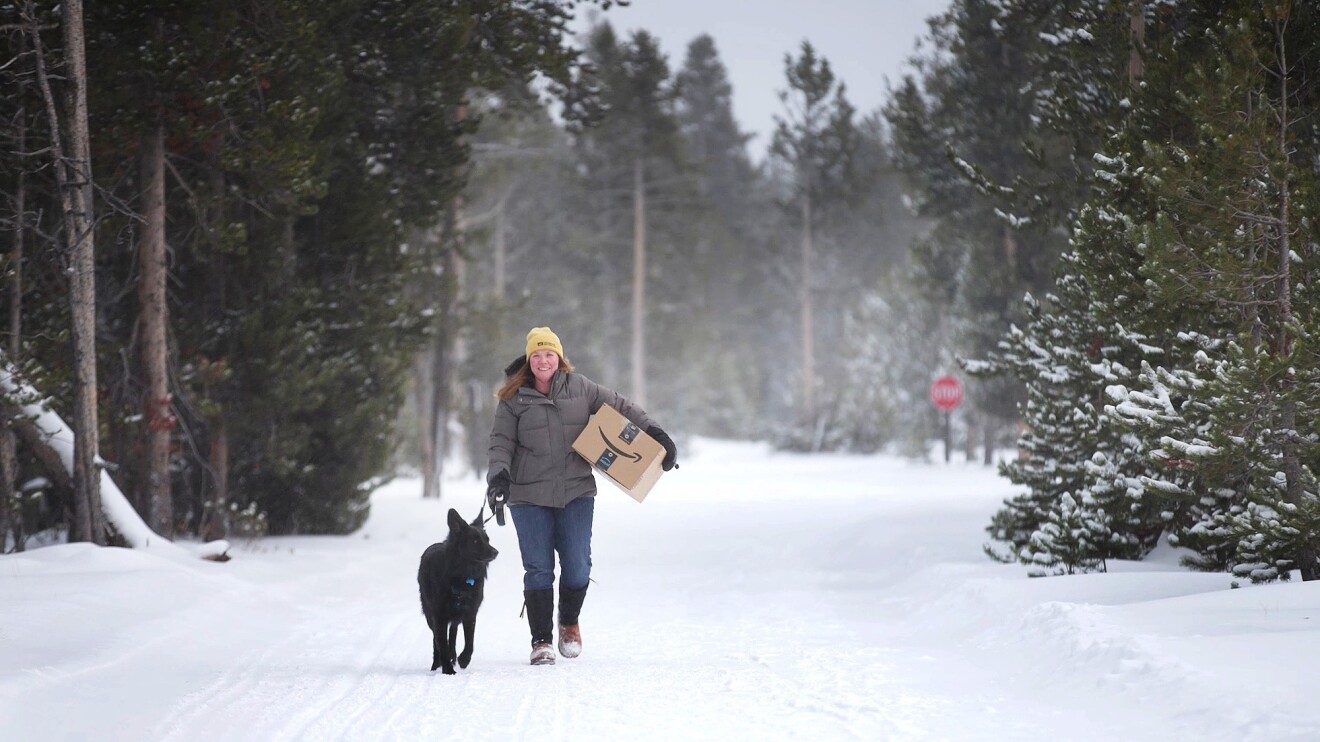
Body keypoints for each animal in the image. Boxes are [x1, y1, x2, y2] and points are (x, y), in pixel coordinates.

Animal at [419, 506, 496, 670]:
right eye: (475, 540)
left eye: (487, 540)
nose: (495, 552)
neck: (461, 574)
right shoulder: (439, 616)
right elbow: (441, 643)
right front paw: (448, 670)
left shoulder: (470, 613)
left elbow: (469, 642)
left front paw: (464, 659)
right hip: (430, 615)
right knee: (437, 640)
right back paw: (437, 663)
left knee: (452, 633)